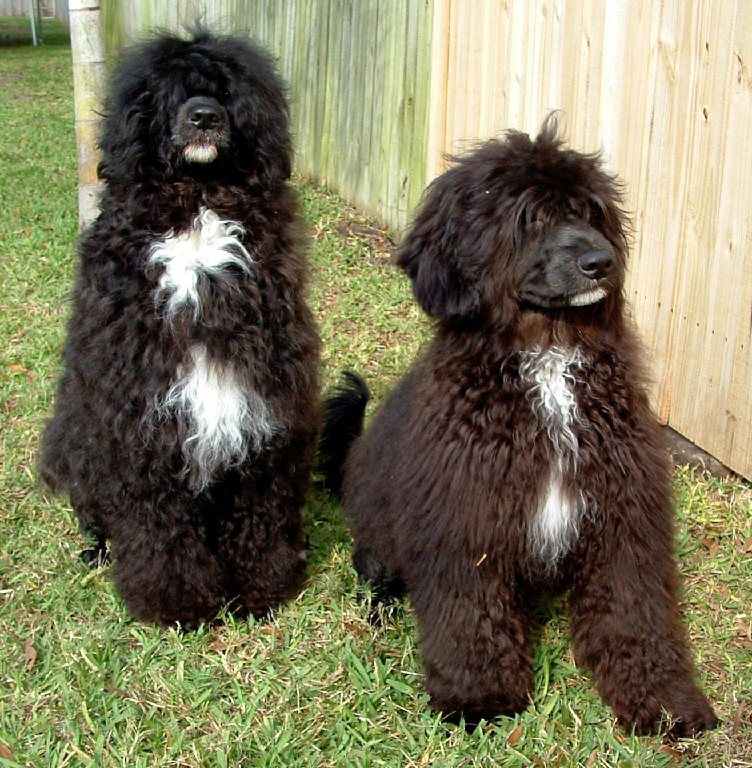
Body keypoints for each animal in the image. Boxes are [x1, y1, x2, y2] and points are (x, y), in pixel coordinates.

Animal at [41, 31, 318, 632]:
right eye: (166, 92)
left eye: (227, 91)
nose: (204, 116)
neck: (196, 210)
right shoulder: (140, 420)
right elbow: (158, 525)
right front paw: (178, 604)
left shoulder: (263, 406)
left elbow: (258, 509)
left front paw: (258, 589)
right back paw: (97, 547)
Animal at [318, 117, 716, 736]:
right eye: (530, 217)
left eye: (592, 212)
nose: (602, 262)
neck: (547, 358)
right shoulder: (466, 522)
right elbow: (470, 619)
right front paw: (477, 700)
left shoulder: (622, 516)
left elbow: (635, 613)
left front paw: (665, 703)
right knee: (373, 563)